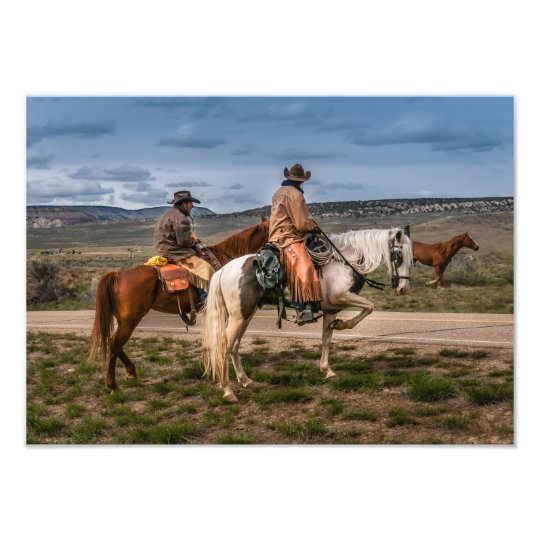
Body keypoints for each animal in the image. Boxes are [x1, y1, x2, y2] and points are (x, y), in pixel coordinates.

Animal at [88, 217, 270, 390]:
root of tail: (118, 275)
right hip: (130, 320)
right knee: (115, 344)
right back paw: (113, 385)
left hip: (124, 320)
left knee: (114, 343)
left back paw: (131, 372)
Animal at [202, 227, 414, 400]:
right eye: (398, 256)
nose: (403, 288)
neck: (344, 262)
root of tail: (223, 270)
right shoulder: (341, 297)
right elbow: (369, 306)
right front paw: (343, 325)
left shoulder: (331, 308)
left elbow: (327, 338)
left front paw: (327, 370)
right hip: (239, 316)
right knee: (225, 345)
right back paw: (227, 390)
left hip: (246, 314)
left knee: (235, 346)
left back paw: (246, 381)